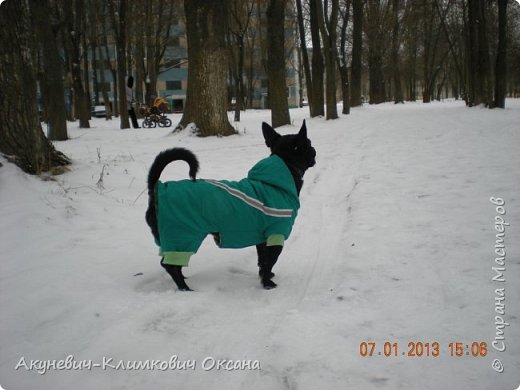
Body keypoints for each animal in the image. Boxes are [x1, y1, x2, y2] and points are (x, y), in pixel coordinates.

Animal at [146, 122, 316, 290]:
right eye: (309, 144)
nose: (314, 150)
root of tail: (156, 188)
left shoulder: (262, 239)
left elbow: (262, 261)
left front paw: (264, 277)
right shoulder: (276, 235)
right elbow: (269, 261)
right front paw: (267, 283)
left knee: (171, 264)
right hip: (183, 236)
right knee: (170, 265)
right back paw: (185, 288)